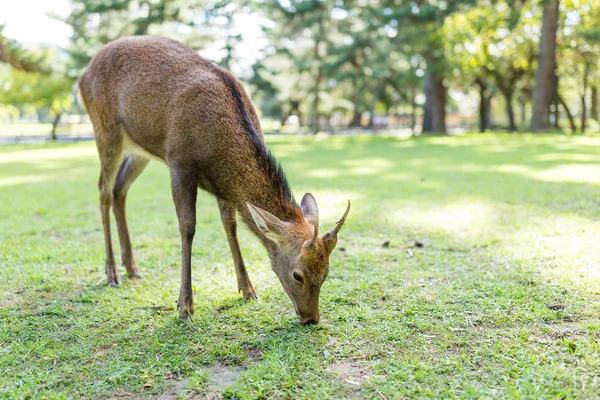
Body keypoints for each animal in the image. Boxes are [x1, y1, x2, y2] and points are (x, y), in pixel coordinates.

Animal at [79, 36, 352, 324]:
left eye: (326, 272)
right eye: (297, 275)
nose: (311, 318)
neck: (219, 157)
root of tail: (83, 74)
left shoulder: (223, 188)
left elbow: (230, 226)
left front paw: (248, 289)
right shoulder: (179, 163)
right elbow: (187, 227)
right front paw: (185, 305)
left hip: (139, 151)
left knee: (120, 190)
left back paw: (131, 267)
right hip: (105, 128)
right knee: (103, 190)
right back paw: (111, 272)